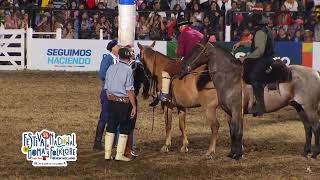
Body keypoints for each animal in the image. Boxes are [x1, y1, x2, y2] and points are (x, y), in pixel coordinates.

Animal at [180, 37, 320, 160]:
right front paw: (232, 153)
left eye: (196, 50)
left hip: (310, 108)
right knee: (307, 127)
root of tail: (315, 73)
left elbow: (237, 132)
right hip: (299, 107)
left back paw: (314, 154)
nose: (182, 67)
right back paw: (305, 152)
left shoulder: (237, 110)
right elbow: (232, 132)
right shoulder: (229, 113)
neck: (231, 78)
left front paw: (238, 155)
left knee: (315, 126)